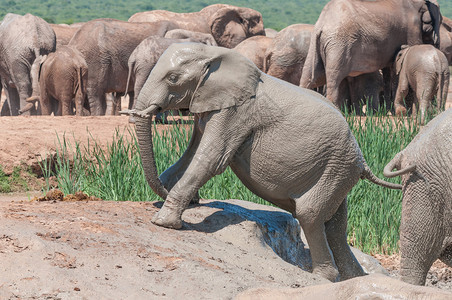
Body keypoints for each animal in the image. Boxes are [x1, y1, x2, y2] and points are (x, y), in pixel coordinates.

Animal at [121, 43, 402, 282]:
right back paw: (355, 278)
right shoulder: (211, 104)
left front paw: (163, 222)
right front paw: (173, 197)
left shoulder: (236, 112)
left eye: (173, 78)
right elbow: (192, 153)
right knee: (334, 224)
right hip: (338, 171)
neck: (213, 53)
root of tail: (362, 159)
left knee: (310, 215)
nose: (196, 201)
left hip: (337, 166)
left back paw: (323, 278)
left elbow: (210, 159)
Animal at [300, 0, 442, 109]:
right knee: (334, 79)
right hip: (338, 44)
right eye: (432, 25)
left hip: (317, 45)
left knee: (307, 76)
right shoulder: (412, 30)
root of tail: (322, 24)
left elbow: (389, 71)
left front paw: (389, 110)